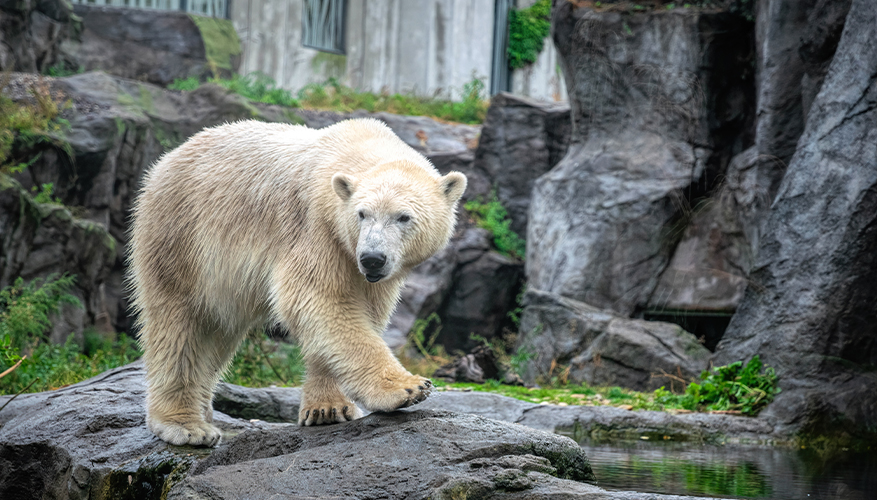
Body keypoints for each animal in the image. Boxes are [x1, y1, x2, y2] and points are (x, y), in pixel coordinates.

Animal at [128, 119, 466, 448]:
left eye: (403, 217)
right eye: (362, 214)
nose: (372, 258)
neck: (355, 149)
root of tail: (167, 160)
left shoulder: (365, 268)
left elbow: (356, 314)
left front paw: (327, 409)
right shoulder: (316, 229)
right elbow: (319, 299)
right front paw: (408, 388)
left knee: (218, 327)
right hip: (183, 234)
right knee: (179, 323)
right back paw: (186, 426)